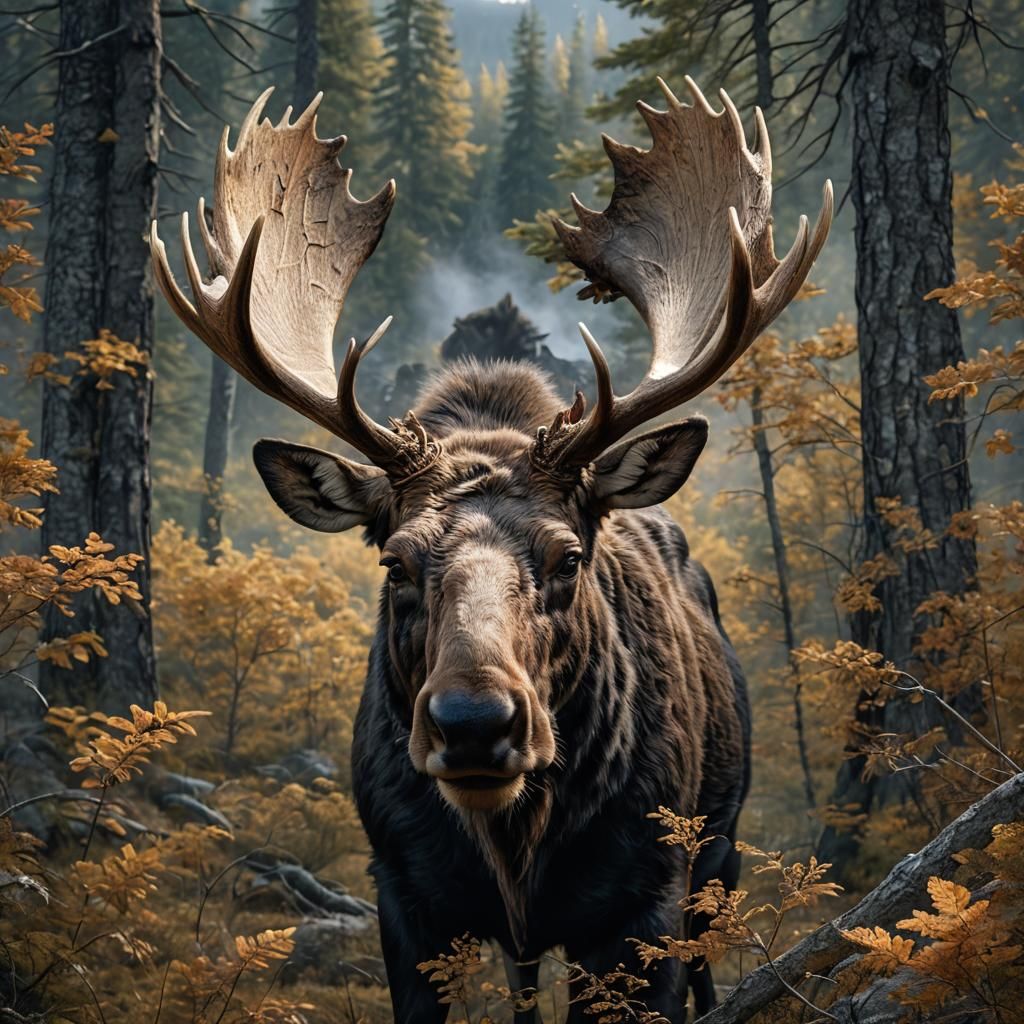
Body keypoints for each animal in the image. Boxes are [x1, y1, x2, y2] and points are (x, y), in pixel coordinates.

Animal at [151, 76, 831, 1022]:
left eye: (569, 558)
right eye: (395, 561)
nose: (474, 722)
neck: (515, 848)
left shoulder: (645, 901)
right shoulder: (403, 895)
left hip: (719, 857)